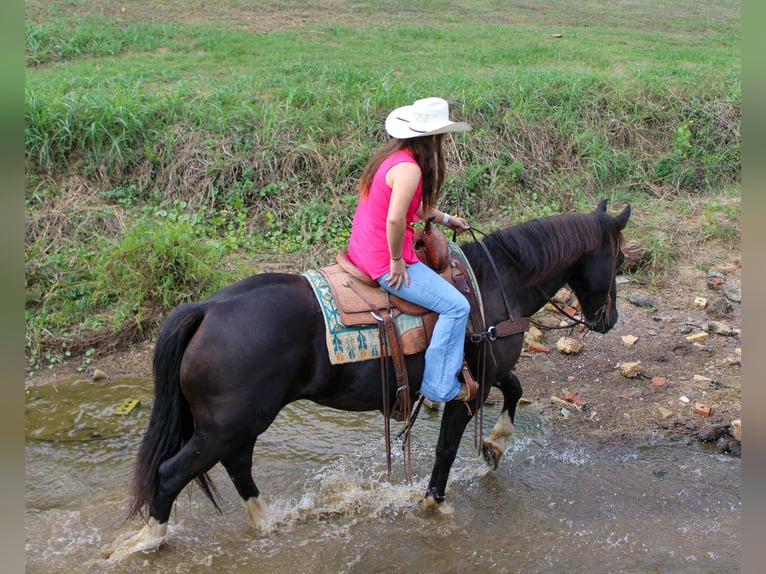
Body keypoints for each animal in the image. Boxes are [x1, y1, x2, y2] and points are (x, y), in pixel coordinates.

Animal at [120, 199, 630, 553]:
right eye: (620, 262)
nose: (608, 321)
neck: (495, 284)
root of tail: (207, 308)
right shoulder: (465, 388)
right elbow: (446, 448)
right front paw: (434, 502)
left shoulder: (486, 371)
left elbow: (516, 388)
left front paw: (495, 444)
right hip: (228, 424)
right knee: (172, 473)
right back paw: (149, 541)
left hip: (236, 423)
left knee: (237, 464)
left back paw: (266, 521)